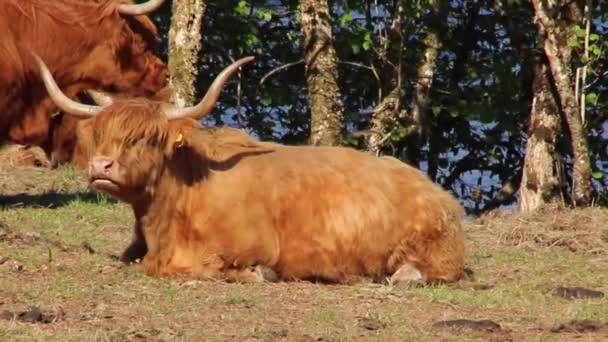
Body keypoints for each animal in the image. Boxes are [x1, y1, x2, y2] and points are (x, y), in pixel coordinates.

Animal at [34, 54, 466, 284]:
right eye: (101, 133)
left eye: (148, 137)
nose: (101, 165)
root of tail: (439, 194)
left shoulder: (250, 248)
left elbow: (219, 268)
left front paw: (260, 274)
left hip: (433, 256)